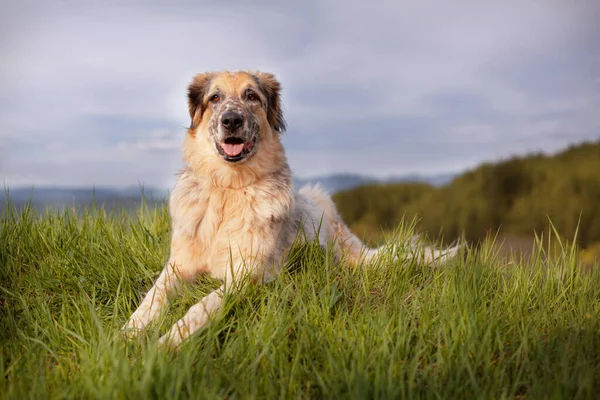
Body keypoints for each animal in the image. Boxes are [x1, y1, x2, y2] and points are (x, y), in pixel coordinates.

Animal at [122, 71, 460, 346]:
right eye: (215, 98)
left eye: (251, 96)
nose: (231, 120)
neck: (229, 190)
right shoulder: (177, 267)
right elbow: (152, 298)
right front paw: (126, 335)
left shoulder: (246, 274)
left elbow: (201, 307)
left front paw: (166, 343)